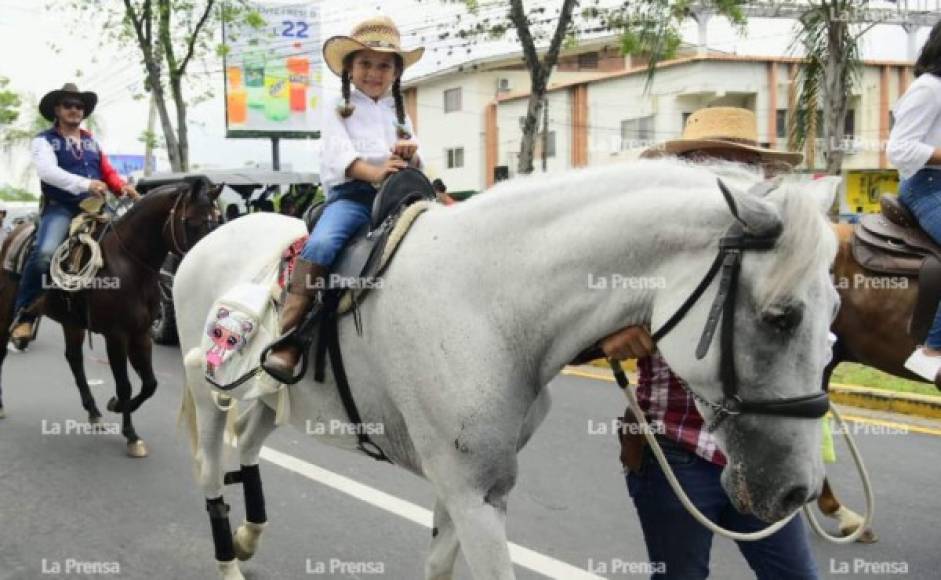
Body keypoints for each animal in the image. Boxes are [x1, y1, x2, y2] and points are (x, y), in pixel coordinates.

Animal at [0, 181, 218, 458]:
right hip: (6, 310)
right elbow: (124, 384)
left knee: (74, 360)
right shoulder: (116, 336)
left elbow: (150, 383)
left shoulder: (141, 334)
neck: (129, 265)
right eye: (190, 221)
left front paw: (115, 406)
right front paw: (131, 435)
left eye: (216, 222)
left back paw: (93, 411)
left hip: (72, 322)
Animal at [174, 159, 836, 580]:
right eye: (780, 318)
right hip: (210, 390)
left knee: (248, 444)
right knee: (208, 469)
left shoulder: (466, 488)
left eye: (835, 313)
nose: (798, 492)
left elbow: (438, 564)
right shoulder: (473, 496)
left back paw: (249, 535)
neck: (491, 303)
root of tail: (206, 242)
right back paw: (227, 558)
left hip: (268, 397)